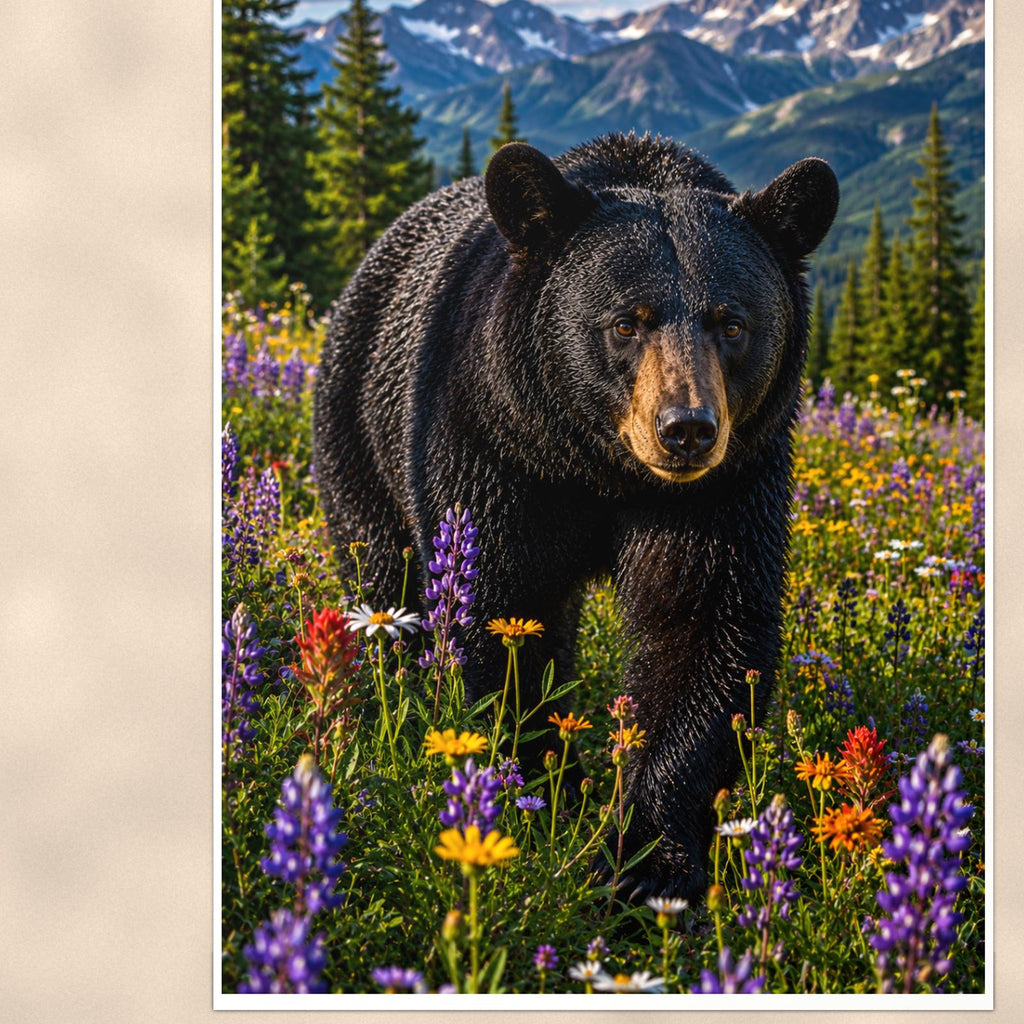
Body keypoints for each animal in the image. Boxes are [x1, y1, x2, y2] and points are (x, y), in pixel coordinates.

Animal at [313, 132, 838, 904]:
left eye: (733, 323)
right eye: (625, 322)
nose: (686, 429)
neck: (596, 464)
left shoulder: (731, 483)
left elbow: (704, 624)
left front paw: (645, 861)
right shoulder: (491, 439)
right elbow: (498, 606)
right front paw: (534, 799)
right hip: (357, 431)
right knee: (386, 573)